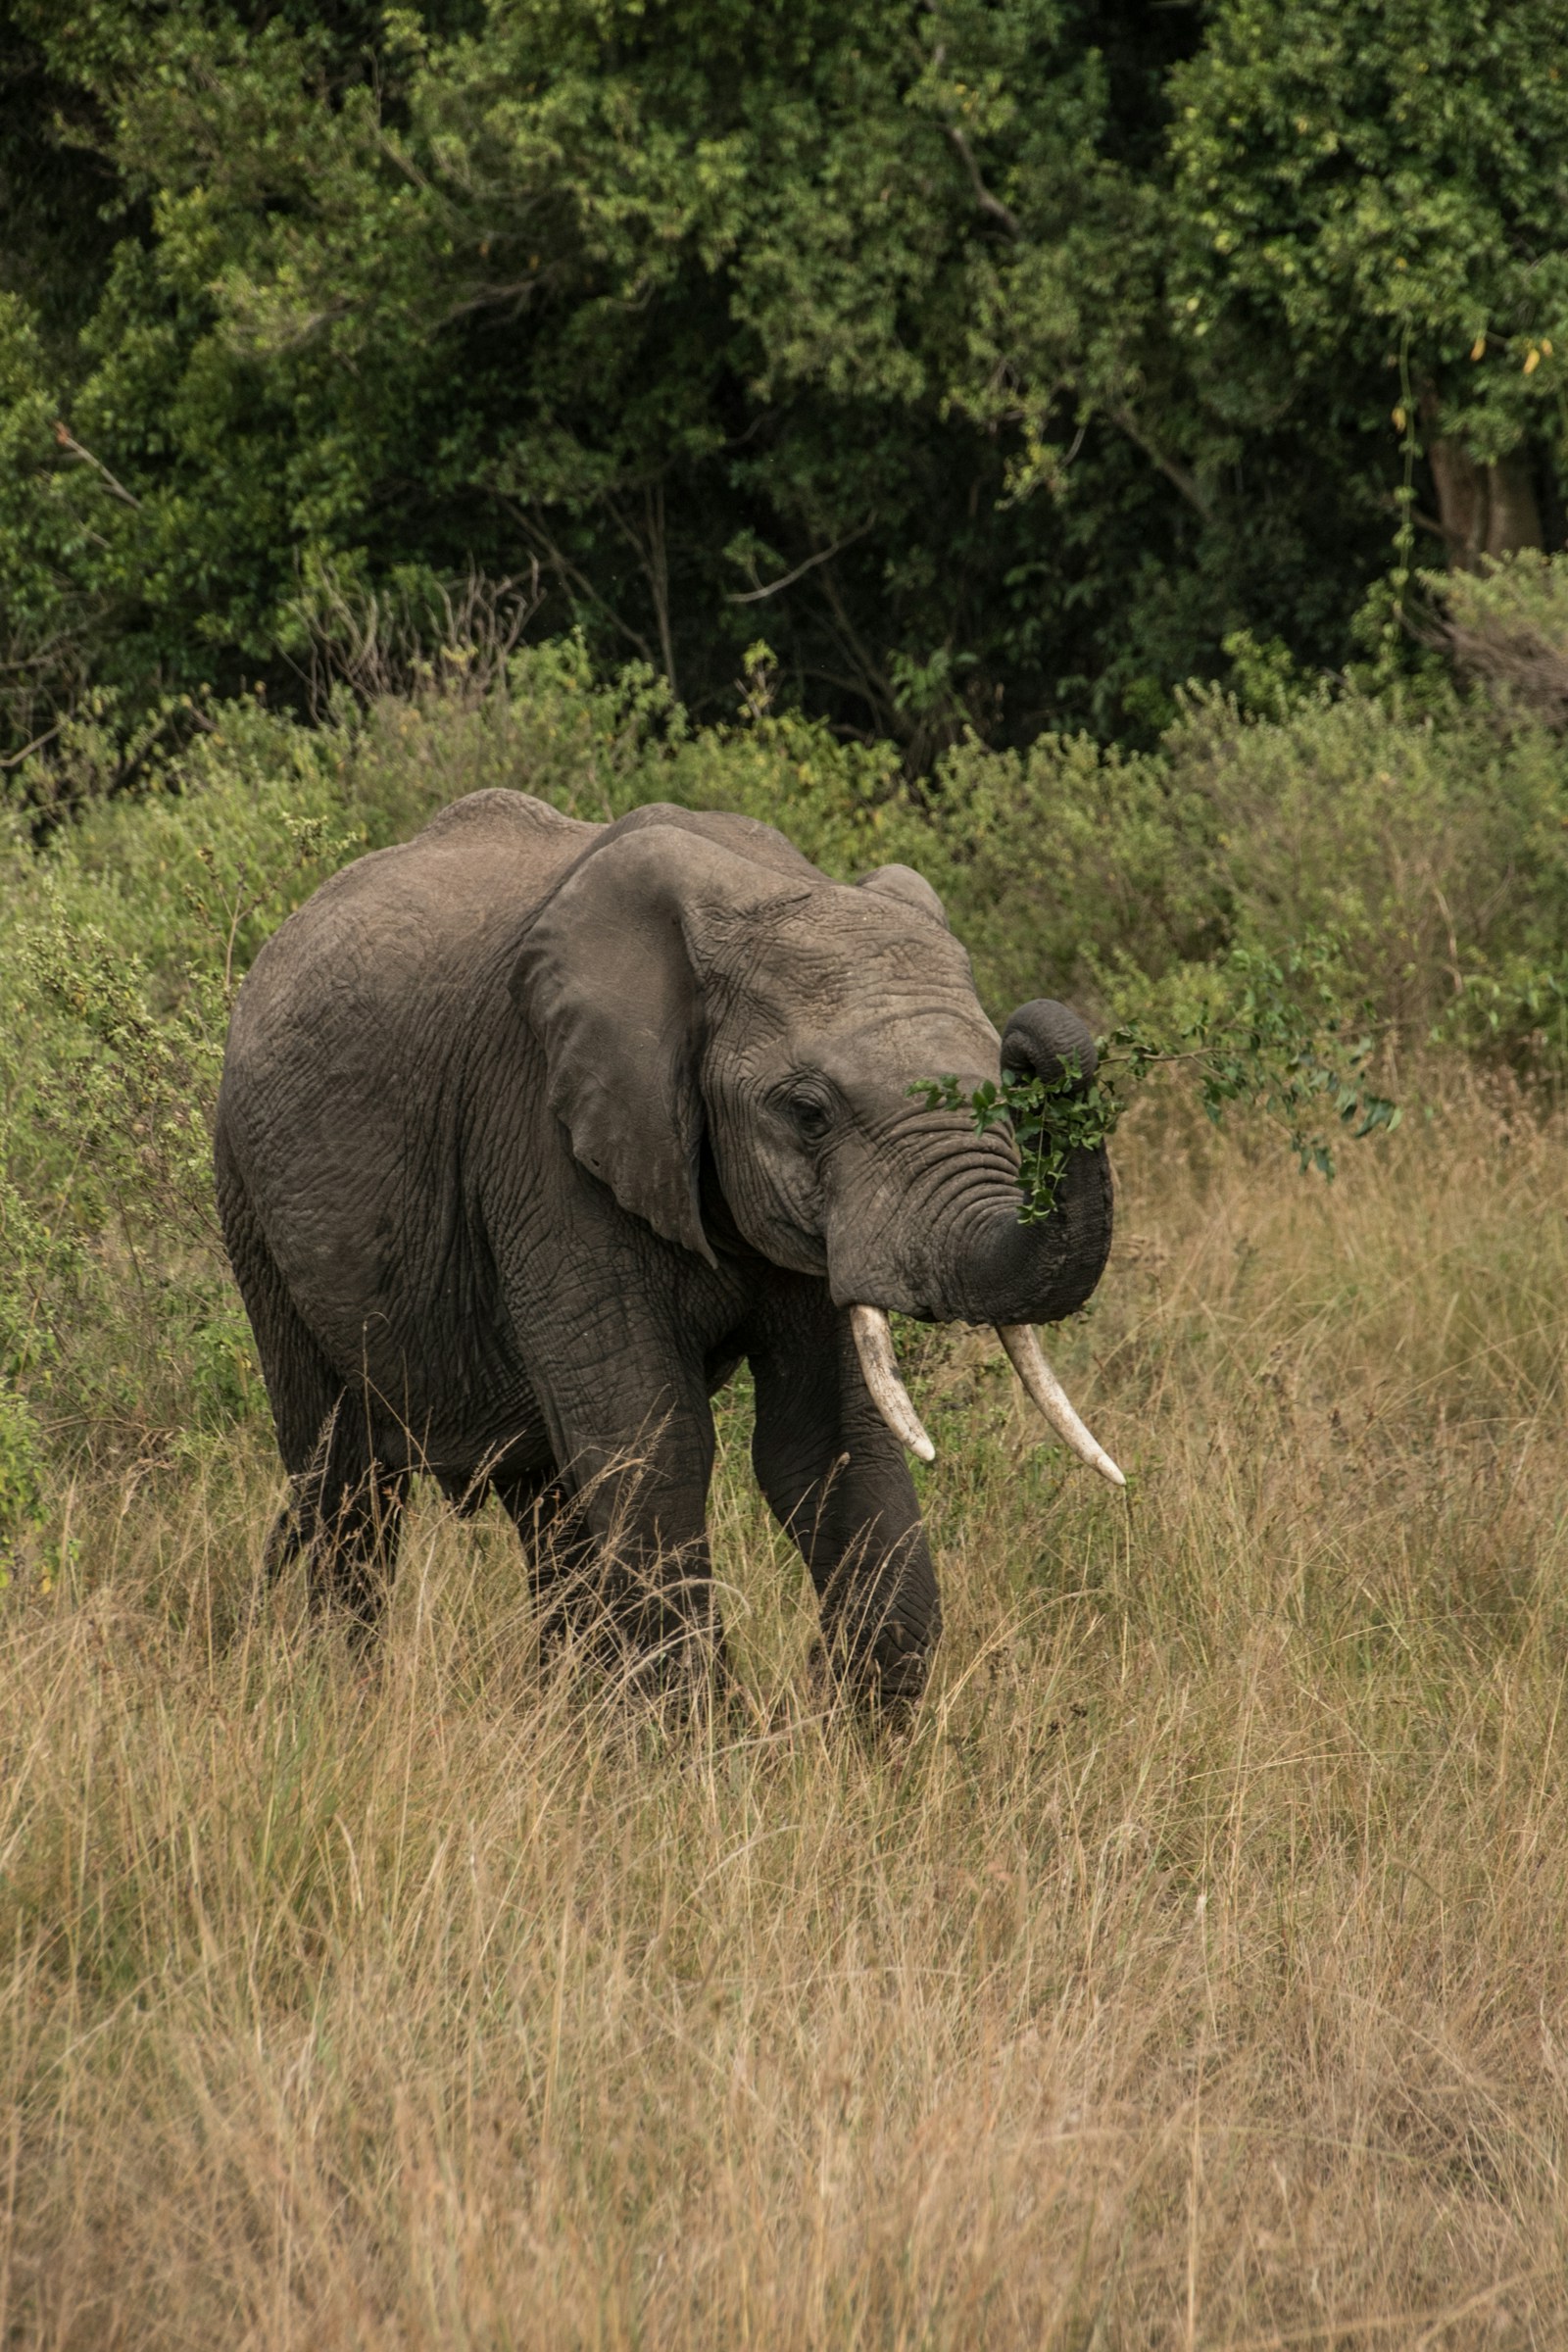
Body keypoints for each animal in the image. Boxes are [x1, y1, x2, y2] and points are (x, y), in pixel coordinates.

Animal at [215, 791, 1120, 1705]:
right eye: (808, 1114)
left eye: (1001, 1091)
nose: (1036, 1042)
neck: (761, 890)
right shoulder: (543, 1139)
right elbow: (654, 1448)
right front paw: (700, 1734)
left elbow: (829, 1444)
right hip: (249, 1196)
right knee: (344, 1482)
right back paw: (348, 1698)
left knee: (546, 1500)